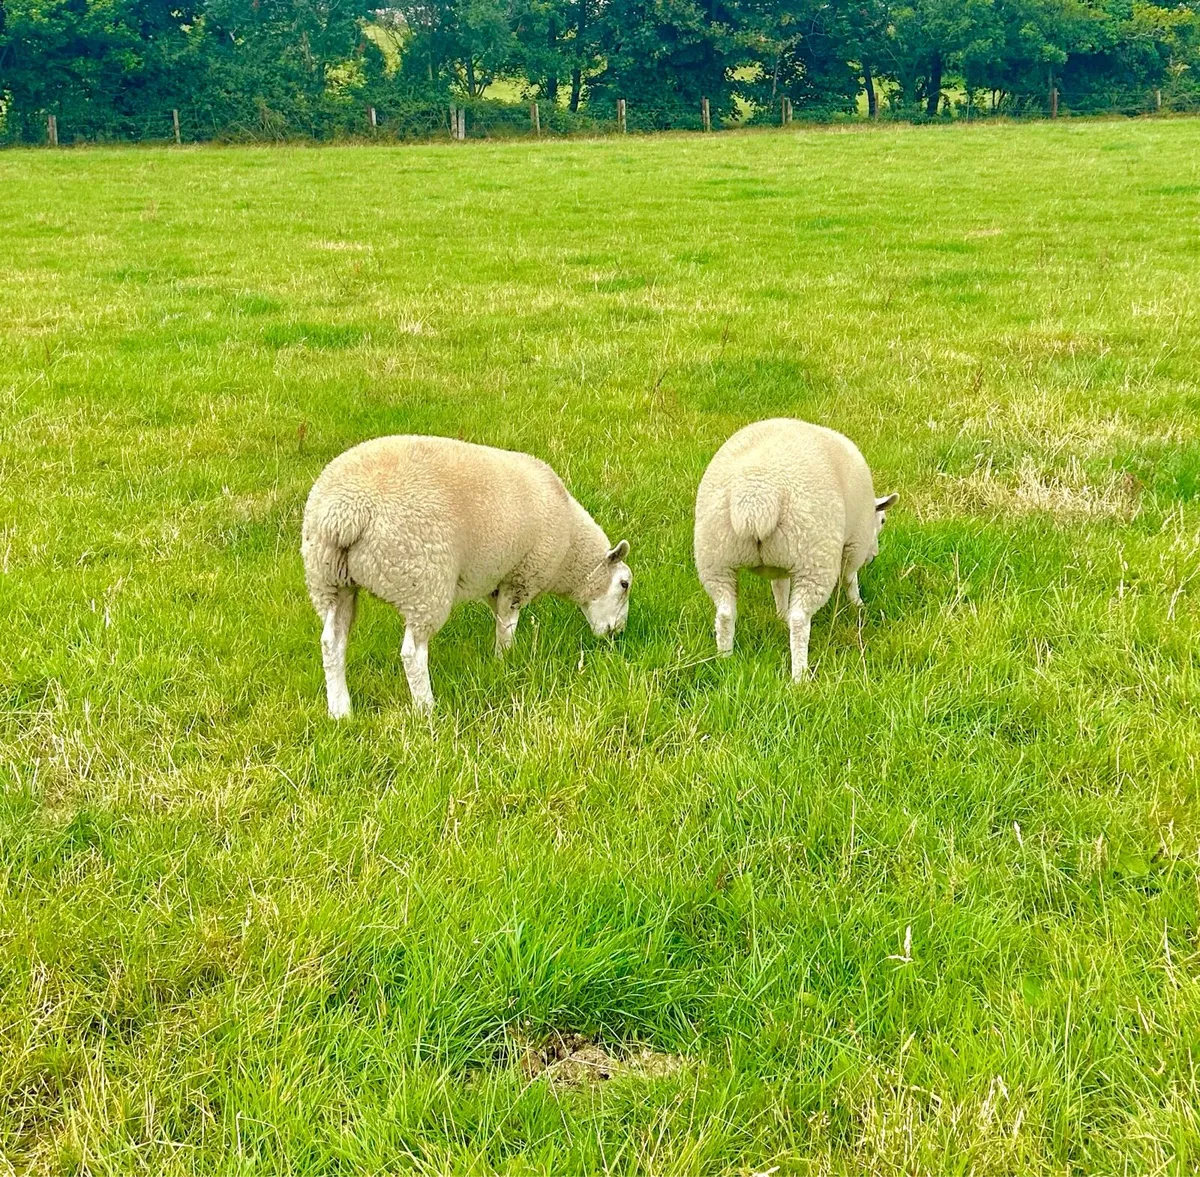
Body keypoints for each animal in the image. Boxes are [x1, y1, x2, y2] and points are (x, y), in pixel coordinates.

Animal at [302, 435, 632, 716]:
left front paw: (500, 661)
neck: (570, 551)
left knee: (332, 642)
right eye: (624, 583)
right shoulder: (522, 575)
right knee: (412, 653)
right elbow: (507, 624)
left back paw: (341, 711)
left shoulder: (496, 579)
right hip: (422, 579)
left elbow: (499, 618)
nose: (617, 634)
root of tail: (344, 514)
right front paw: (506, 660)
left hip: (329, 579)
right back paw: (426, 709)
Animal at [693, 418, 897, 680]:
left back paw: (724, 659)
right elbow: (850, 578)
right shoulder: (855, 543)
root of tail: (755, 499)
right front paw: (858, 606)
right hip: (814, 555)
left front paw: (781, 616)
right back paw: (800, 676)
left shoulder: (778, 564)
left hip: (715, 555)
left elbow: (779, 587)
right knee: (800, 620)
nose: (874, 557)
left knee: (725, 612)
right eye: (883, 521)